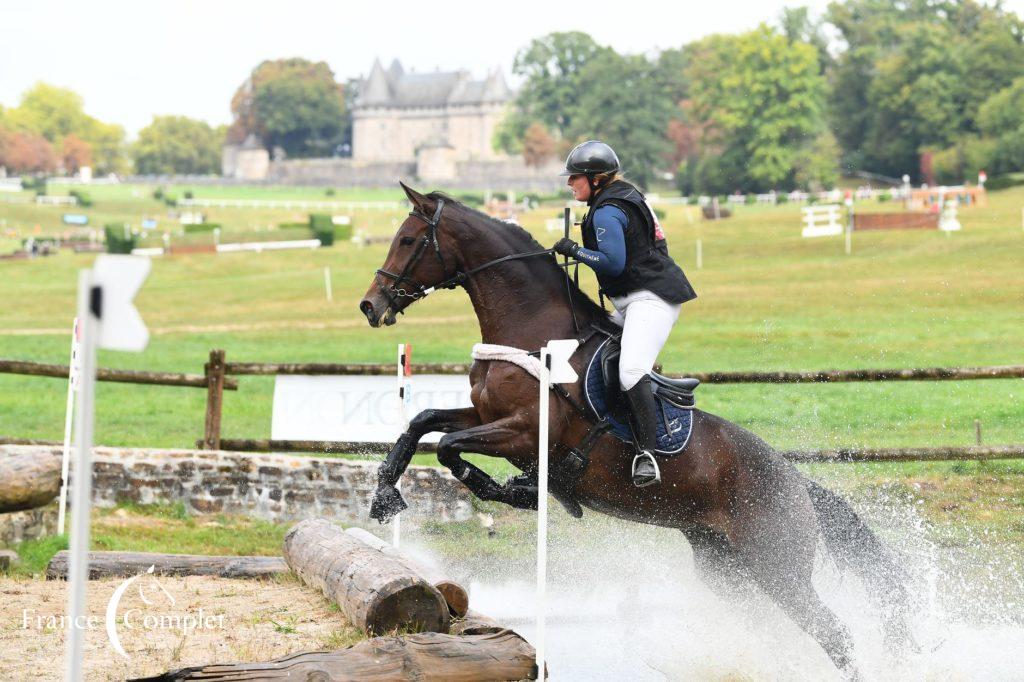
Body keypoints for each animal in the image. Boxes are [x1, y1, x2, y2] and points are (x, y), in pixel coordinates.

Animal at [358, 180, 913, 675]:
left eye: (407, 240)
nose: (371, 304)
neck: (529, 326)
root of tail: (797, 482)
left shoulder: (525, 431)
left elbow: (449, 447)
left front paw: (513, 491)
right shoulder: (487, 416)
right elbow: (422, 425)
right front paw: (385, 494)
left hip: (779, 567)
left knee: (835, 633)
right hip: (726, 569)